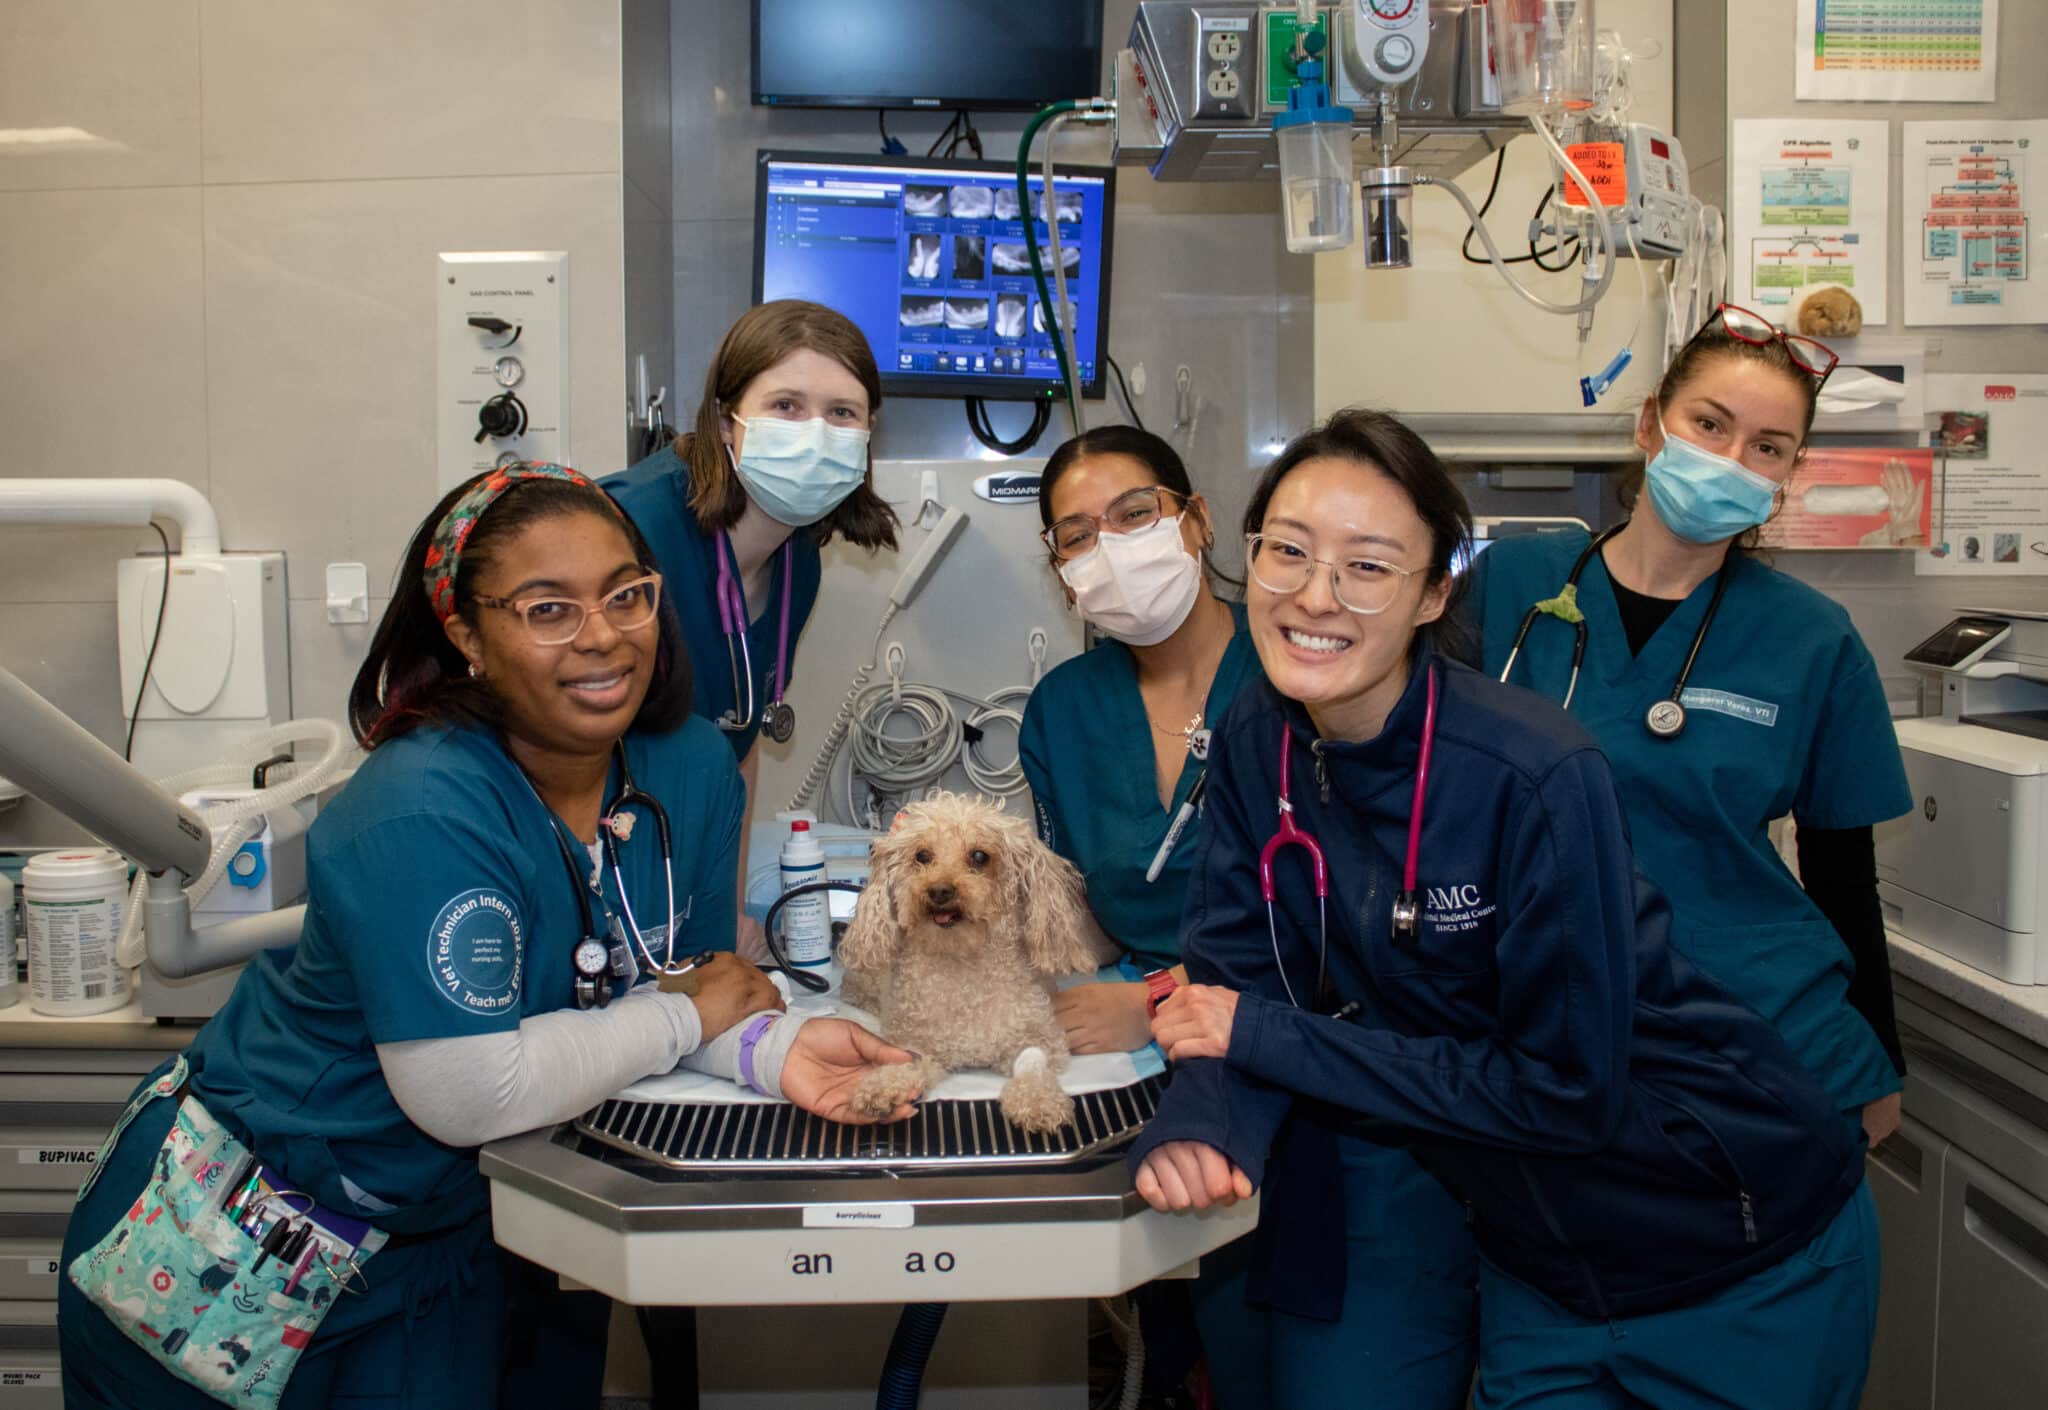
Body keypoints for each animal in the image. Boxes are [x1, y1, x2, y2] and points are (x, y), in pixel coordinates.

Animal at [843, 795, 1105, 1131]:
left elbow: (1032, 1065)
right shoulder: (915, 1040)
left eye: (980, 856)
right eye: (922, 855)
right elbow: (906, 1059)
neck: (962, 965)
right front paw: (885, 1084)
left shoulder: (1041, 1036)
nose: (939, 890)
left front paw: (1038, 1099)